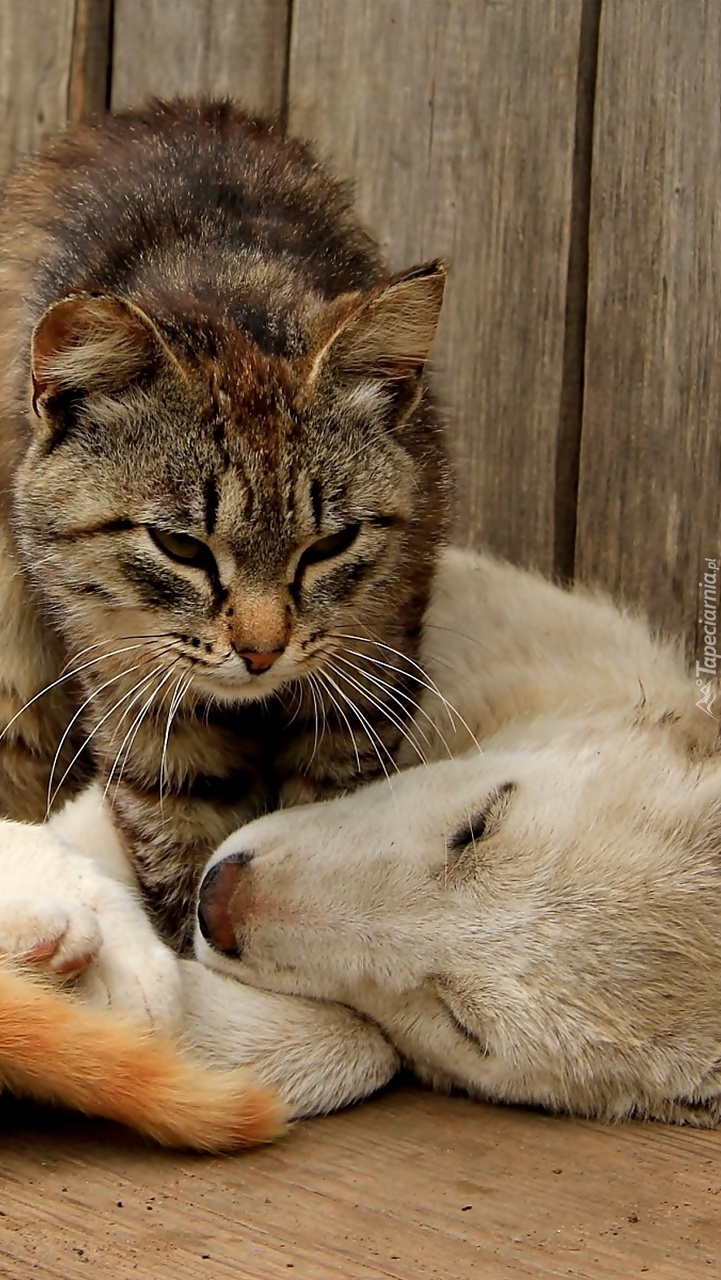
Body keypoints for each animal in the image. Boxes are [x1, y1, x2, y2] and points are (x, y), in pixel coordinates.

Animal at [0, 99, 450, 952]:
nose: (262, 651)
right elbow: (180, 838)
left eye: (331, 542)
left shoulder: (365, 677)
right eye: (179, 545)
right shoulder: (143, 702)